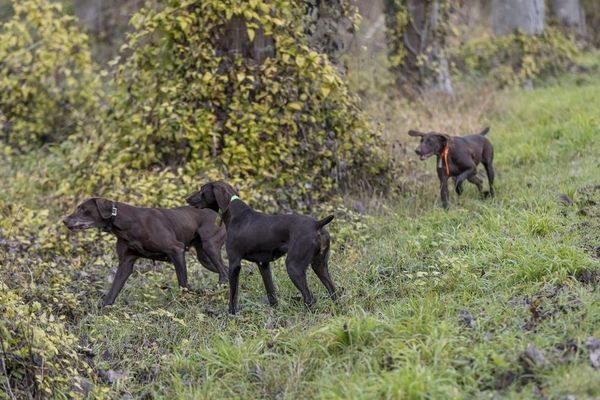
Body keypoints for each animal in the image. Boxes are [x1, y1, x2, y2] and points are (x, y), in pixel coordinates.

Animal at [63, 198, 227, 306]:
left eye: (83, 209)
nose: (64, 220)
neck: (126, 222)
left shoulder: (177, 250)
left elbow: (183, 283)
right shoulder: (126, 263)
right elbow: (112, 292)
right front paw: (102, 311)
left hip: (210, 247)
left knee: (224, 273)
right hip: (204, 258)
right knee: (225, 270)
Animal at [186, 181, 338, 316]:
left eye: (202, 190)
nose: (187, 199)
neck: (236, 214)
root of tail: (317, 224)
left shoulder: (234, 264)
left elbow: (233, 295)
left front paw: (231, 314)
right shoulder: (263, 264)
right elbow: (271, 292)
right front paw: (275, 311)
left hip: (294, 266)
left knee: (309, 297)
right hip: (319, 265)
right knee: (334, 291)